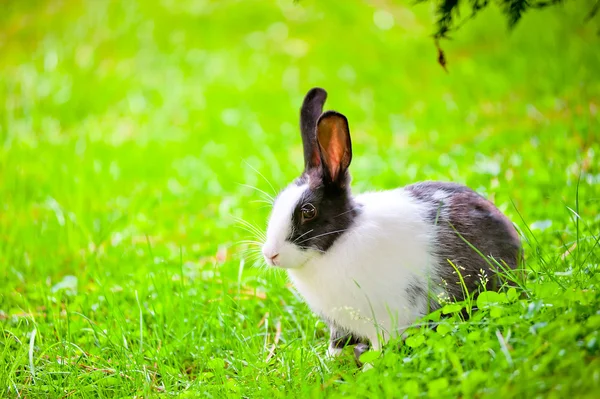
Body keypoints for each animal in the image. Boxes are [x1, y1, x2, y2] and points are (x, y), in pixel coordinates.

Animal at [262, 86, 520, 360]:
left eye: (308, 211)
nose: (270, 255)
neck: (338, 241)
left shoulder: (387, 318)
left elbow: (381, 345)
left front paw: (371, 364)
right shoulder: (339, 325)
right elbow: (337, 341)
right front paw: (330, 359)